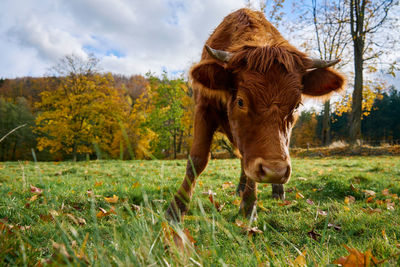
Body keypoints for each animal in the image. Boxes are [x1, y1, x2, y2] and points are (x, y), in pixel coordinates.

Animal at [166, 7, 344, 222]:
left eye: (296, 106)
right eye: (241, 101)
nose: (275, 171)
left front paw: (249, 207)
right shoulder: (203, 109)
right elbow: (197, 159)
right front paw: (176, 209)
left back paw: (276, 191)